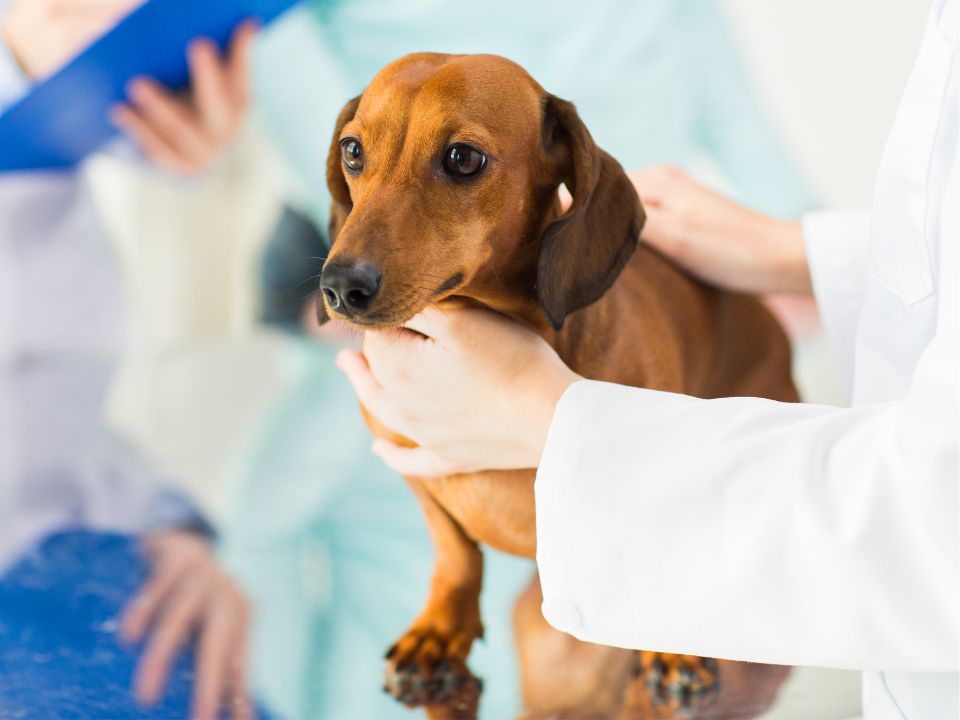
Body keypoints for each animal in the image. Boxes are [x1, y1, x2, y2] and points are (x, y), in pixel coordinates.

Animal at [318, 52, 800, 720]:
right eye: (353, 150)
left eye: (462, 158)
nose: (340, 288)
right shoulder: (409, 462)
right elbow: (455, 553)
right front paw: (439, 634)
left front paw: (670, 646)